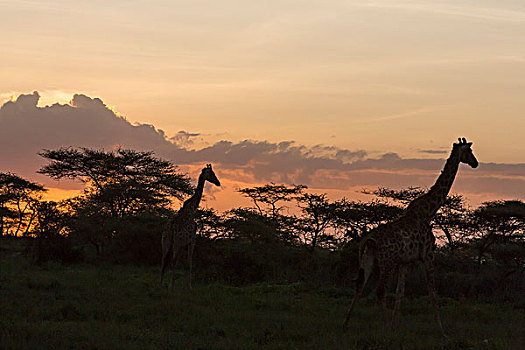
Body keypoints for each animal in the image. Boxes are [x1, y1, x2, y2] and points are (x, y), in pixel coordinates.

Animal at [342, 137, 476, 336]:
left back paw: (345, 326)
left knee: (359, 286)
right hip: (387, 262)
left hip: (368, 260)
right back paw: (384, 330)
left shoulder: (406, 261)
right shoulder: (428, 255)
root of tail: (369, 240)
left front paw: (395, 326)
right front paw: (443, 332)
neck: (429, 211)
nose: (476, 163)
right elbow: (433, 294)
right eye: (469, 151)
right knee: (379, 291)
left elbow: (400, 294)